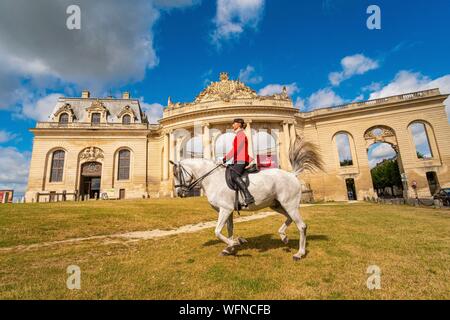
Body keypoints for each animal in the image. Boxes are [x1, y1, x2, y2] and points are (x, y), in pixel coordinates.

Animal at [171, 135, 322, 260]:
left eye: (177, 173)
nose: (179, 193)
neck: (213, 178)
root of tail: (292, 175)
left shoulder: (225, 209)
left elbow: (217, 231)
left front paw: (236, 242)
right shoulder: (228, 211)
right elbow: (229, 230)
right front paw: (229, 249)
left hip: (289, 204)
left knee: (301, 226)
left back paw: (299, 253)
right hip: (277, 205)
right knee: (290, 219)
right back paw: (283, 237)